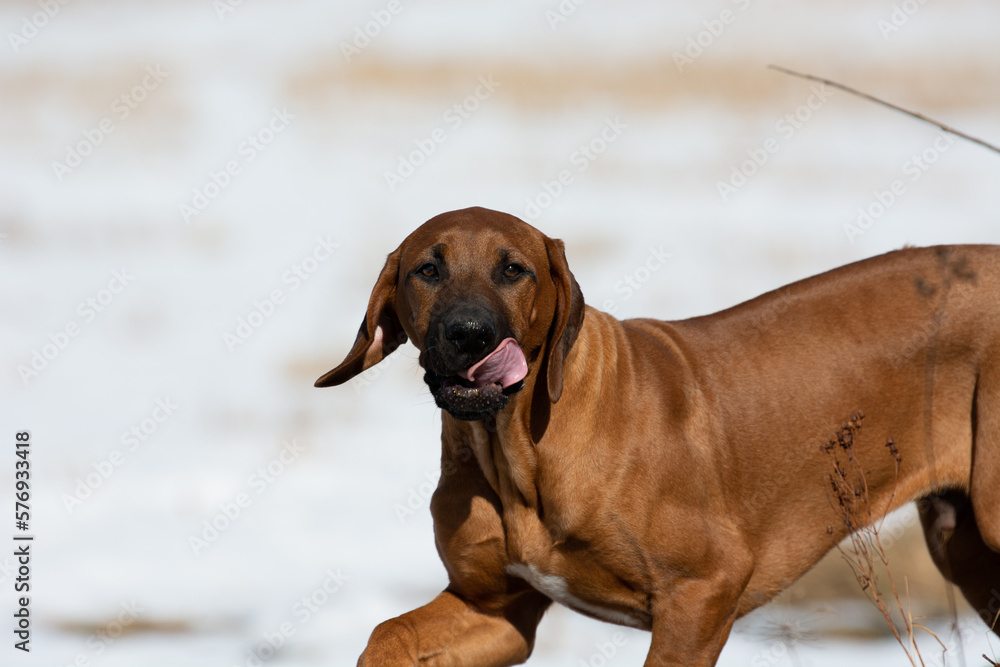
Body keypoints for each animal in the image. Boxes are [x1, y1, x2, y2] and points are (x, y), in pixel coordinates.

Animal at [314, 206, 1000, 664]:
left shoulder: (703, 591)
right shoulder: (497, 611)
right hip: (966, 549)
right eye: (427, 269)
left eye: (514, 270)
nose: (470, 334)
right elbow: (386, 634)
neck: (516, 451)